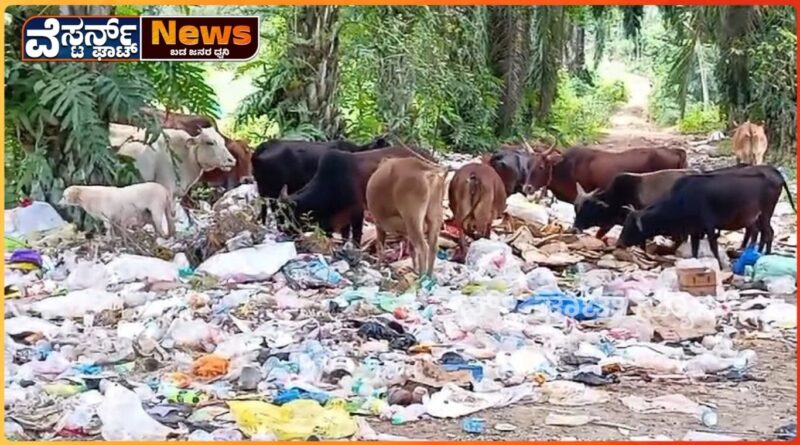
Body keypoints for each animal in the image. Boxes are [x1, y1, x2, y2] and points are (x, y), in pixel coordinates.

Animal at [620, 164, 792, 260]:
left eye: (631, 226)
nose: (619, 243)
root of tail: (777, 174)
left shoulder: (709, 227)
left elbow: (713, 249)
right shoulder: (695, 230)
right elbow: (695, 250)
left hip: (765, 213)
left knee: (767, 233)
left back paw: (764, 255)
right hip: (759, 217)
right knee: (764, 233)